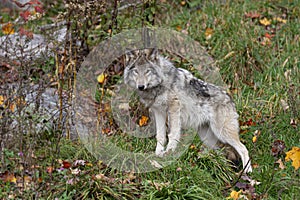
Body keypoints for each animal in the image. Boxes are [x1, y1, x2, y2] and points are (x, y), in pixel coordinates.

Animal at [123, 48, 252, 173]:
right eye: (136, 71)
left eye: (147, 71)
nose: (141, 86)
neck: (160, 82)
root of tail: (230, 99)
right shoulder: (158, 111)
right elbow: (160, 135)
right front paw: (158, 154)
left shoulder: (174, 107)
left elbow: (173, 134)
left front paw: (169, 153)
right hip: (208, 138)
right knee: (223, 152)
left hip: (222, 133)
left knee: (243, 148)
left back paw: (247, 172)